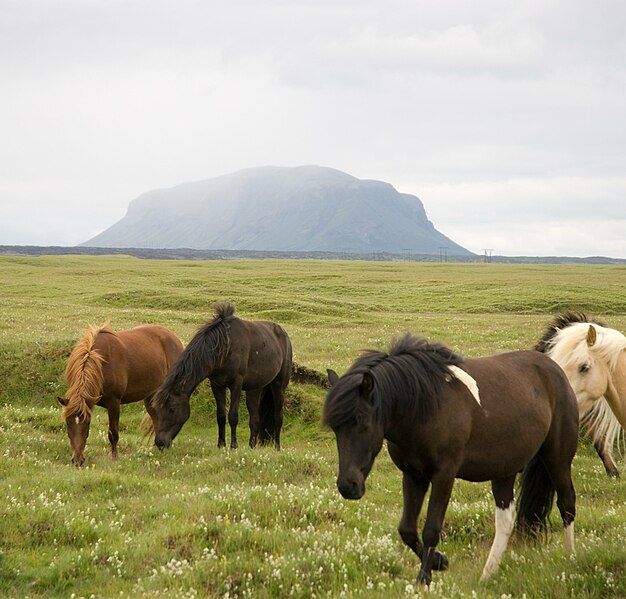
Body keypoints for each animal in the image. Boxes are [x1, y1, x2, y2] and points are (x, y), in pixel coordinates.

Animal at [56, 326, 183, 466]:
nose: (77, 460)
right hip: (151, 396)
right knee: (156, 420)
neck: (101, 362)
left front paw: (114, 457)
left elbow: (113, 433)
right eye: (67, 423)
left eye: (87, 422)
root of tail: (175, 338)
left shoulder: (114, 403)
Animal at [152, 304, 292, 450]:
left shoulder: (236, 384)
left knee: (278, 417)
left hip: (278, 386)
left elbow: (233, 416)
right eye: (157, 410)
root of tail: (283, 333)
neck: (225, 348)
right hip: (255, 389)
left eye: (172, 410)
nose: (160, 442)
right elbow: (220, 416)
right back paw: (251, 447)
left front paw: (233, 446)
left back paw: (277, 447)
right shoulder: (217, 385)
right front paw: (221, 445)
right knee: (255, 418)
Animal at [324, 336, 576, 588]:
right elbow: (407, 529)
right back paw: (487, 575)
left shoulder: (444, 475)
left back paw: (570, 559)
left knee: (567, 504)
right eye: (336, 428)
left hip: (558, 459)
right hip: (505, 470)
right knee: (505, 521)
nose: (348, 486)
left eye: (363, 423)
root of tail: (554, 368)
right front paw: (439, 562)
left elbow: (431, 529)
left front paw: (424, 579)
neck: (425, 408)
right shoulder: (413, 475)